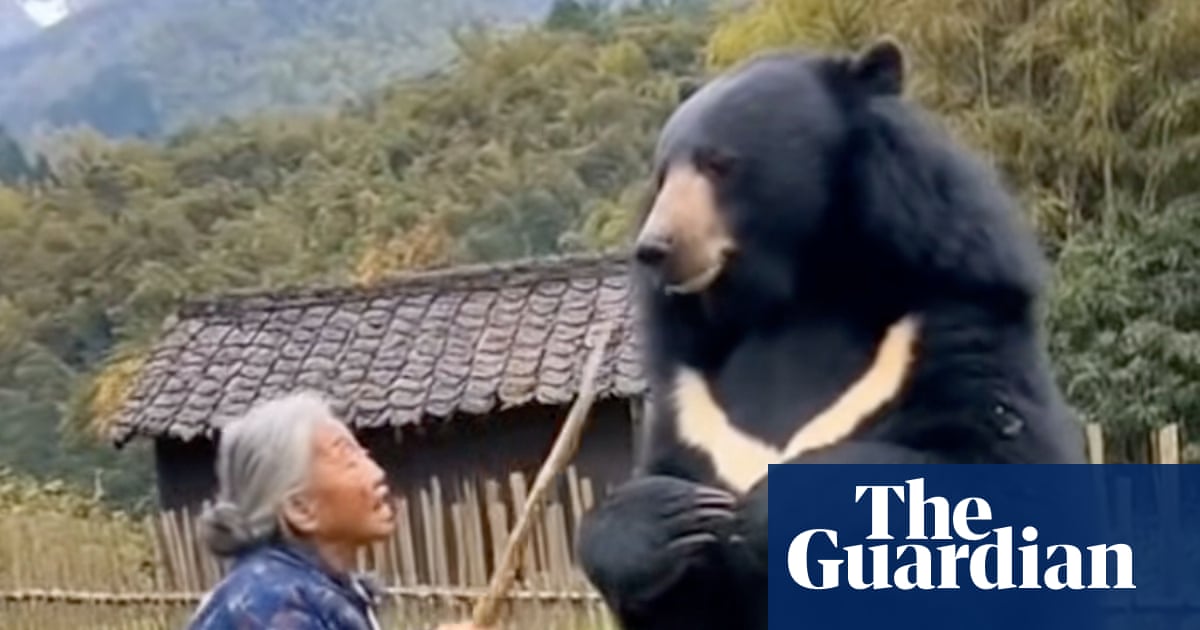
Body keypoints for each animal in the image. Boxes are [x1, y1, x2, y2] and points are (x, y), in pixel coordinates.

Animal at [575, 38, 1086, 630]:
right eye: (661, 176)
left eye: (718, 164)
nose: (655, 249)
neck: (791, 297)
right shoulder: (690, 401)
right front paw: (675, 513)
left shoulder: (953, 323)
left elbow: (1003, 479)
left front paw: (770, 505)